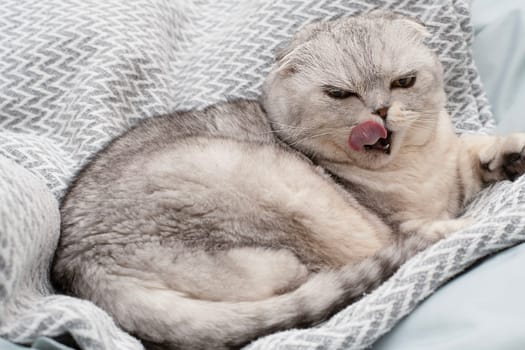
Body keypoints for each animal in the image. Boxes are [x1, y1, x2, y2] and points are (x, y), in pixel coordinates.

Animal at [50, 11, 524, 350]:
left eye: (403, 82)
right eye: (340, 94)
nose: (381, 112)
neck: (413, 168)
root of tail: (83, 266)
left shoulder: (450, 166)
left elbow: (474, 150)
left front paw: (509, 155)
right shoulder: (390, 218)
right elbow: (416, 223)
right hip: (279, 191)